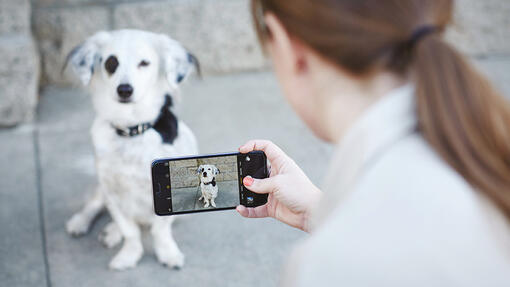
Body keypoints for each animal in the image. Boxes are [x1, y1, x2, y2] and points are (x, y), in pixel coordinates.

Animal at [64, 29, 199, 272]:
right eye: (111, 62)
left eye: (144, 63)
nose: (124, 90)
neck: (132, 130)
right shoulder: (112, 191)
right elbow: (129, 230)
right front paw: (129, 255)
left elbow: (160, 230)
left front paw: (168, 253)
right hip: (101, 190)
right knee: (94, 206)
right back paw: (84, 223)